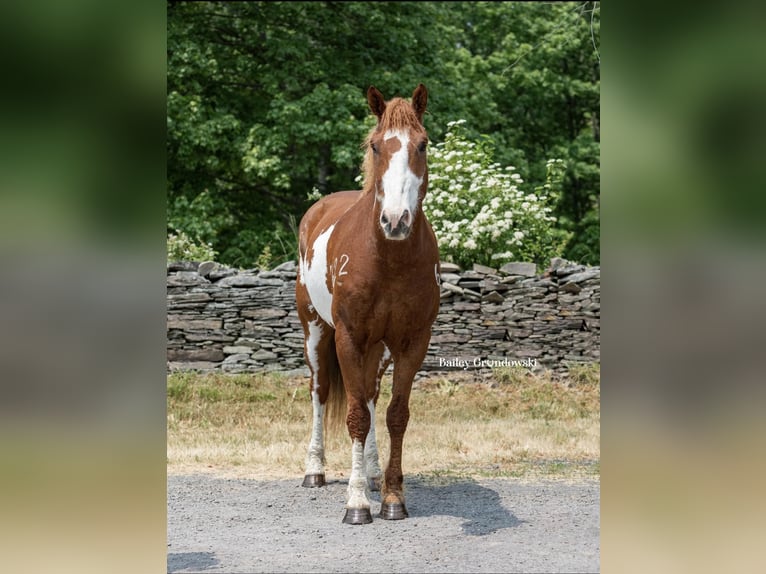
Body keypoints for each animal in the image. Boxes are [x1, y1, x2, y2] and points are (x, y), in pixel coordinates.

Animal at [296, 84, 440, 528]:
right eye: (377, 146)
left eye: (422, 144)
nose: (396, 220)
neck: (388, 258)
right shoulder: (349, 338)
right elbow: (356, 415)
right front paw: (356, 503)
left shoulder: (412, 342)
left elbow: (395, 414)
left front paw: (392, 496)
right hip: (316, 332)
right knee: (321, 391)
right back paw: (315, 470)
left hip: (379, 349)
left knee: (374, 397)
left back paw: (374, 473)